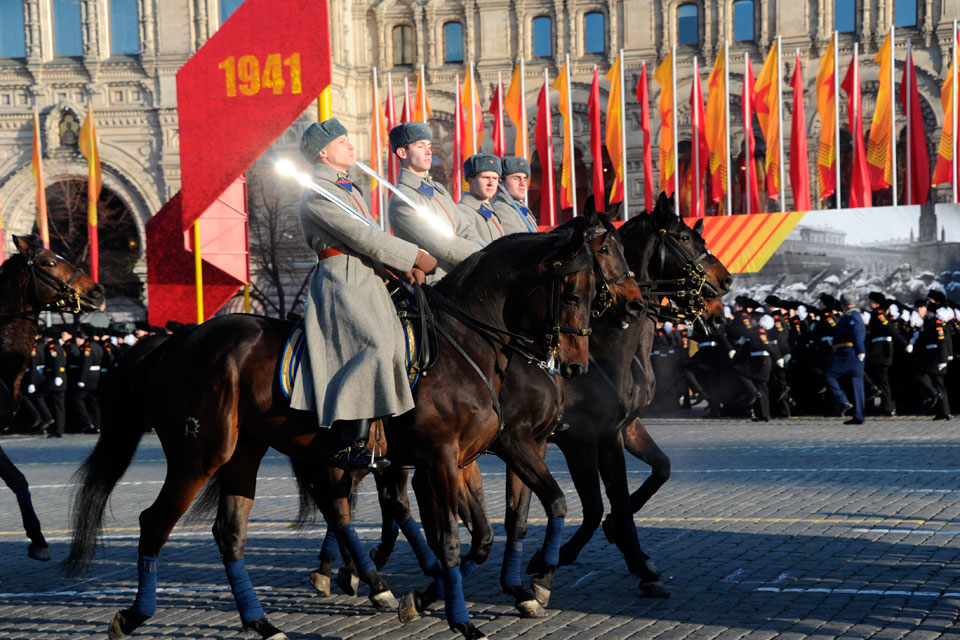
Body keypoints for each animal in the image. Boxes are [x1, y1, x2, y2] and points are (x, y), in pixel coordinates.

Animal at [69, 221, 600, 640]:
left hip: (247, 454)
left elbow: (485, 535)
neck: (464, 348)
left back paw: (264, 622)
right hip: (199, 455)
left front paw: (424, 598)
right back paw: (134, 616)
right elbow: (453, 537)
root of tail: (174, 340)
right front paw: (465, 618)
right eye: (574, 293)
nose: (576, 365)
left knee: (234, 532)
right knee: (155, 523)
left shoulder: (465, 459)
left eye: (596, 295)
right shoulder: (445, 458)